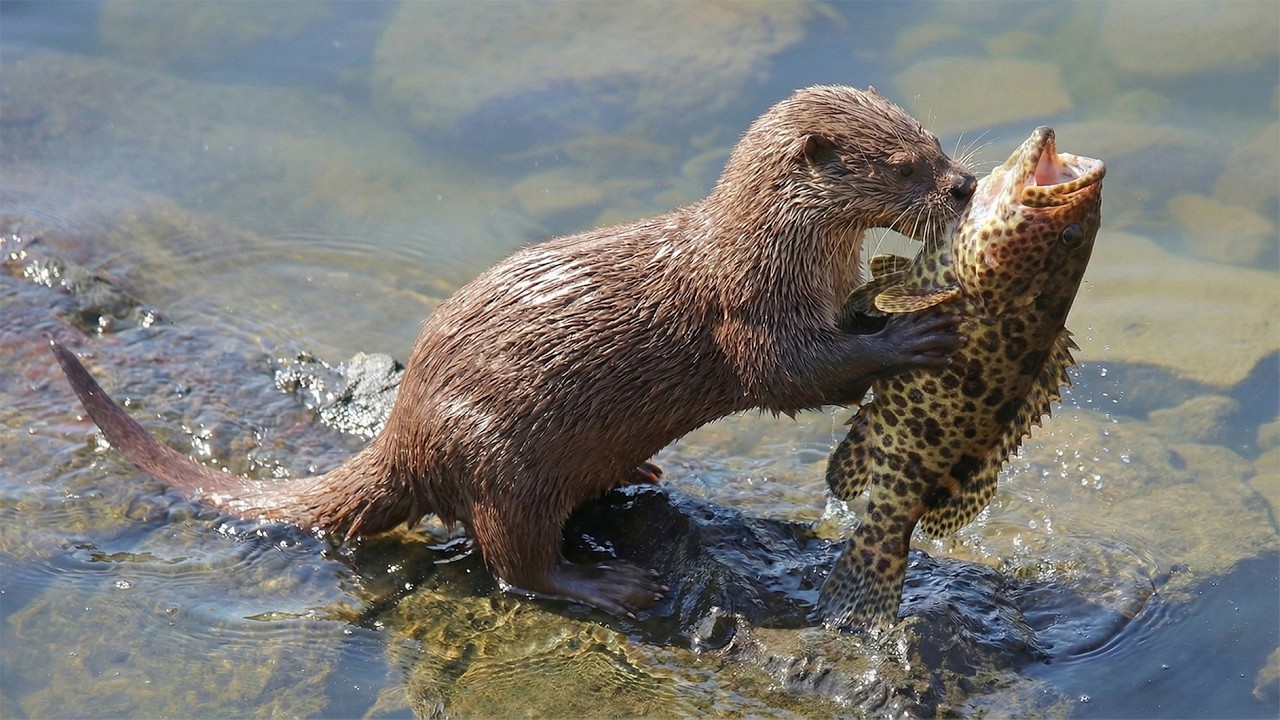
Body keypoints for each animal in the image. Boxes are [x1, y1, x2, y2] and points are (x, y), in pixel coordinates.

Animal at [52, 85, 975, 617]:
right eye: (903, 166)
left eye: (936, 140)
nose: (965, 184)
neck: (776, 252)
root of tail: (405, 433)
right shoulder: (750, 311)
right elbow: (795, 376)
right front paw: (918, 333)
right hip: (501, 458)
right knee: (513, 561)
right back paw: (611, 586)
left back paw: (638, 475)